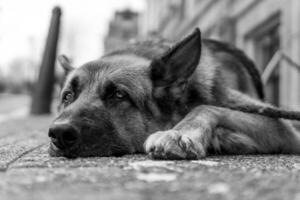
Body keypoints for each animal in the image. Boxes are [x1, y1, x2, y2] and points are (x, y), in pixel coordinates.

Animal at [48, 28, 300, 159]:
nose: (58, 133)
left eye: (118, 95)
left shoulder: (283, 128)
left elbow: (207, 107)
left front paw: (178, 133)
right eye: (68, 96)